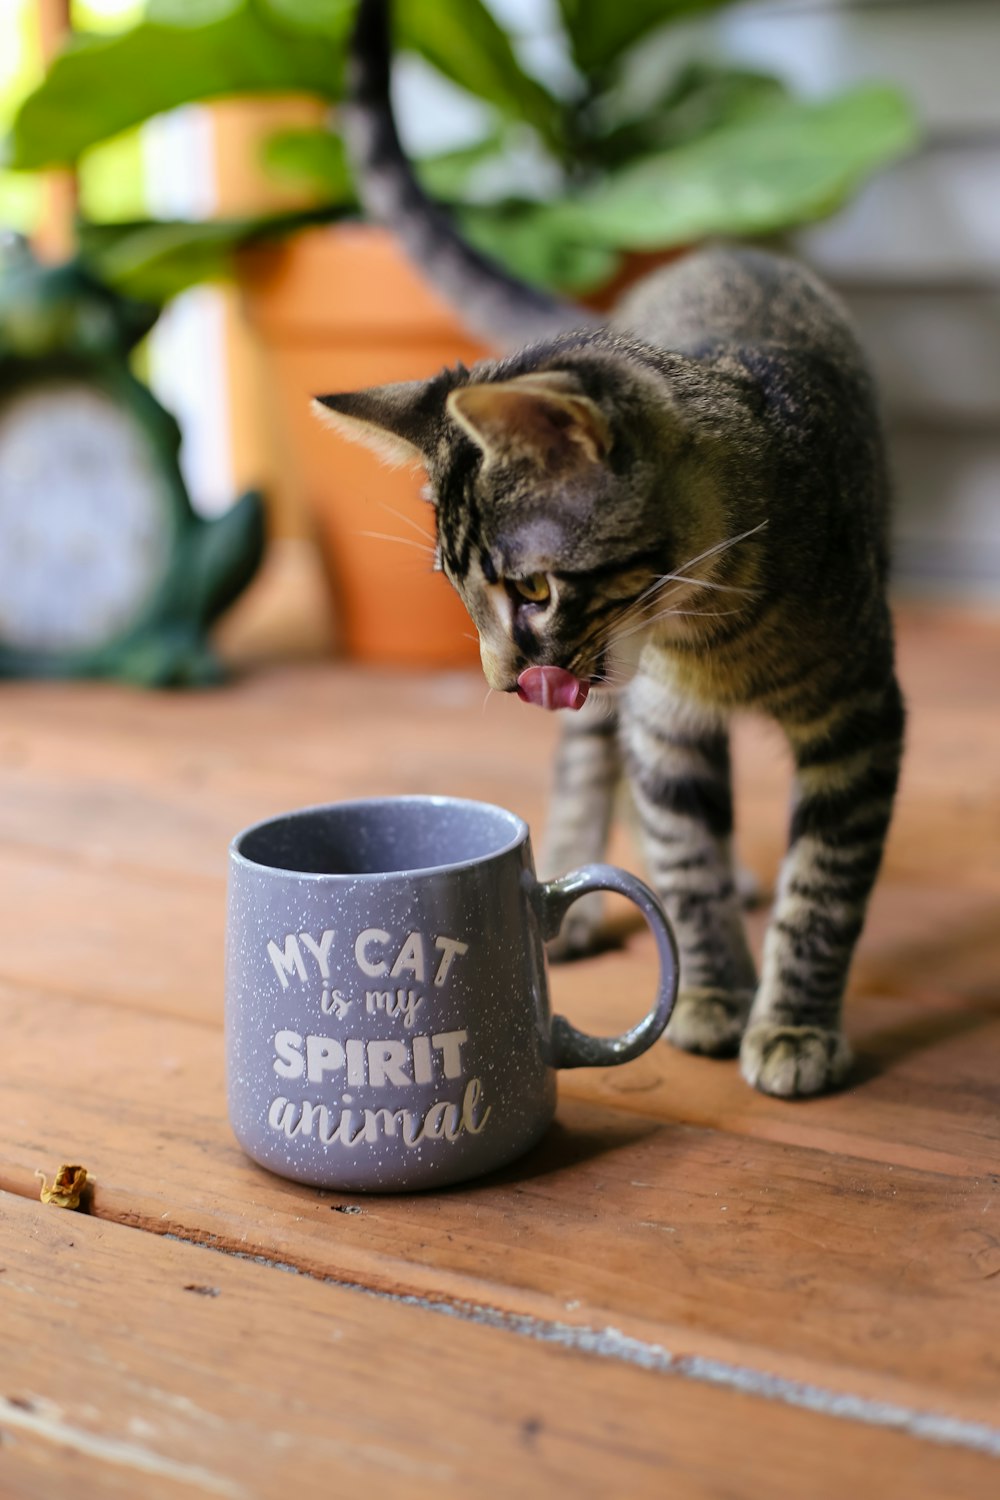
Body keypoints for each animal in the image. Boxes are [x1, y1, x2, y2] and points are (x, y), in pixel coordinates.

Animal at [314, 0, 905, 1104]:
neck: (712, 632)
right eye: (458, 589)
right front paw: (712, 993)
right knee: (589, 763)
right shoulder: (662, 721)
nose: (498, 678)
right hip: (604, 701)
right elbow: (680, 854)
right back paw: (582, 893)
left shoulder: (859, 716)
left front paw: (793, 1022)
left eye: (533, 588)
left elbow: (824, 890)